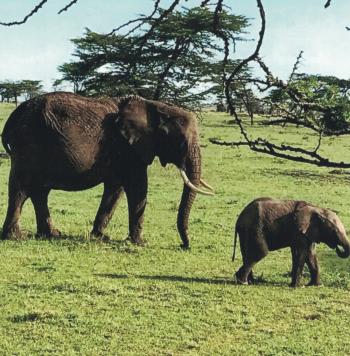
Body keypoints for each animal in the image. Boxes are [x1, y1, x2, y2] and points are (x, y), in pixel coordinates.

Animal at [0, 92, 213, 248]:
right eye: (181, 142)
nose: (185, 246)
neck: (156, 106)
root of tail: (14, 116)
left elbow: (115, 190)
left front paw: (100, 237)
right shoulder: (129, 148)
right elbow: (137, 188)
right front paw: (140, 243)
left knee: (39, 191)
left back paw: (50, 235)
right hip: (29, 143)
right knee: (22, 188)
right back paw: (15, 237)